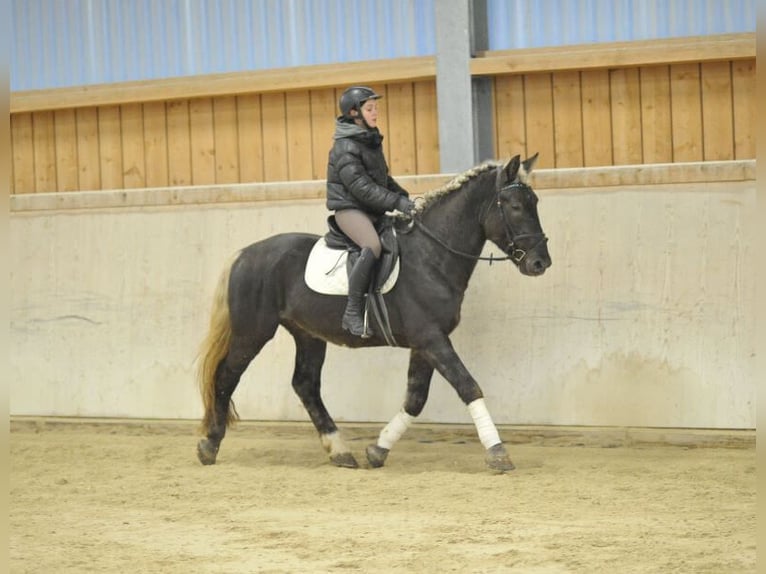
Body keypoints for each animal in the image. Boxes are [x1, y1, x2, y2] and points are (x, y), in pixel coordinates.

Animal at [198, 153, 552, 472]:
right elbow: (468, 386)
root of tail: (244, 254)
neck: (432, 255)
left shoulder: (426, 342)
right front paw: (498, 452)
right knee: (226, 376)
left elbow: (415, 398)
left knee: (305, 385)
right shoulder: (431, 338)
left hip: (308, 334)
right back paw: (209, 445)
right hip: (252, 333)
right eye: (515, 206)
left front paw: (378, 450)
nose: (540, 263)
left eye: (534, 202)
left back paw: (340, 451)